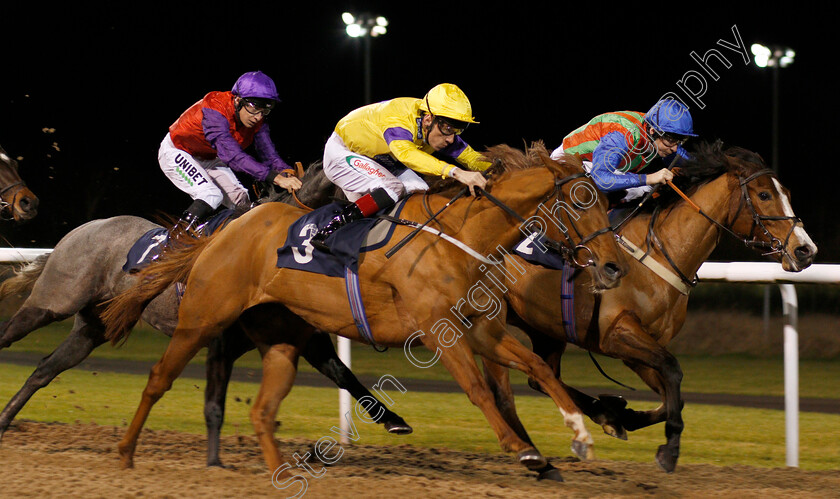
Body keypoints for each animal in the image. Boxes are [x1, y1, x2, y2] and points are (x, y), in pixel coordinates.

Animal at [0, 162, 414, 466]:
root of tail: (80, 231)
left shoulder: (305, 337)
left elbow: (345, 376)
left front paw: (394, 421)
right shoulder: (216, 338)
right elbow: (214, 404)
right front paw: (214, 464)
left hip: (92, 328)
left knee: (44, 370)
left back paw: (5, 421)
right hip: (53, 302)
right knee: (11, 334)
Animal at [100, 144, 624, 480]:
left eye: (606, 204)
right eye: (580, 203)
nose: (614, 267)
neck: (462, 236)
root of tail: (227, 228)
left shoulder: (480, 330)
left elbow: (539, 367)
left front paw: (580, 433)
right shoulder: (441, 332)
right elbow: (479, 390)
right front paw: (523, 451)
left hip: (282, 339)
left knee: (263, 409)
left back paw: (278, 473)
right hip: (202, 319)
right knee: (158, 379)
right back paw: (124, 455)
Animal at [486, 141, 812, 472]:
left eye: (786, 192)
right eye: (764, 194)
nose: (805, 250)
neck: (659, 251)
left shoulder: (642, 347)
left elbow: (672, 397)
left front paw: (622, 417)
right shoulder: (617, 334)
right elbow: (673, 369)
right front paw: (669, 448)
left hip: (545, 330)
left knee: (542, 376)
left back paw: (601, 413)